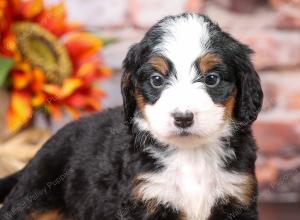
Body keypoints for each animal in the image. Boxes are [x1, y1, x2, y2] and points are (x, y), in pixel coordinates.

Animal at [0, 12, 262, 219]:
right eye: (156, 80)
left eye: (212, 79)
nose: (183, 118)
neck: (190, 154)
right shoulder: (146, 197)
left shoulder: (238, 195)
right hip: (36, 194)